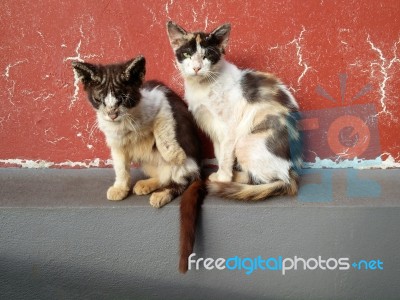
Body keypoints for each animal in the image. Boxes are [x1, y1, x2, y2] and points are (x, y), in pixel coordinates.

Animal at [71, 55, 203, 272]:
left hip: (188, 165)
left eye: (123, 98)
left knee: (182, 180)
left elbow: (163, 128)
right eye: (99, 99)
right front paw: (120, 188)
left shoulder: (161, 100)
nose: (112, 113)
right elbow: (120, 167)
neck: (125, 123)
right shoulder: (115, 142)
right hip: (148, 164)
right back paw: (147, 185)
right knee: (163, 176)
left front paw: (173, 153)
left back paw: (161, 194)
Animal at [166, 22, 300, 200]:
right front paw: (220, 174)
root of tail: (290, 172)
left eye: (207, 55)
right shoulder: (214, 128)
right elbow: (219, 153)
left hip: (245, 142)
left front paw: (223, 178)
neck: (202, 86)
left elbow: (226, 156)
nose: (196, 68)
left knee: (262, 179)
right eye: (187, 54)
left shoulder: (229, 128)